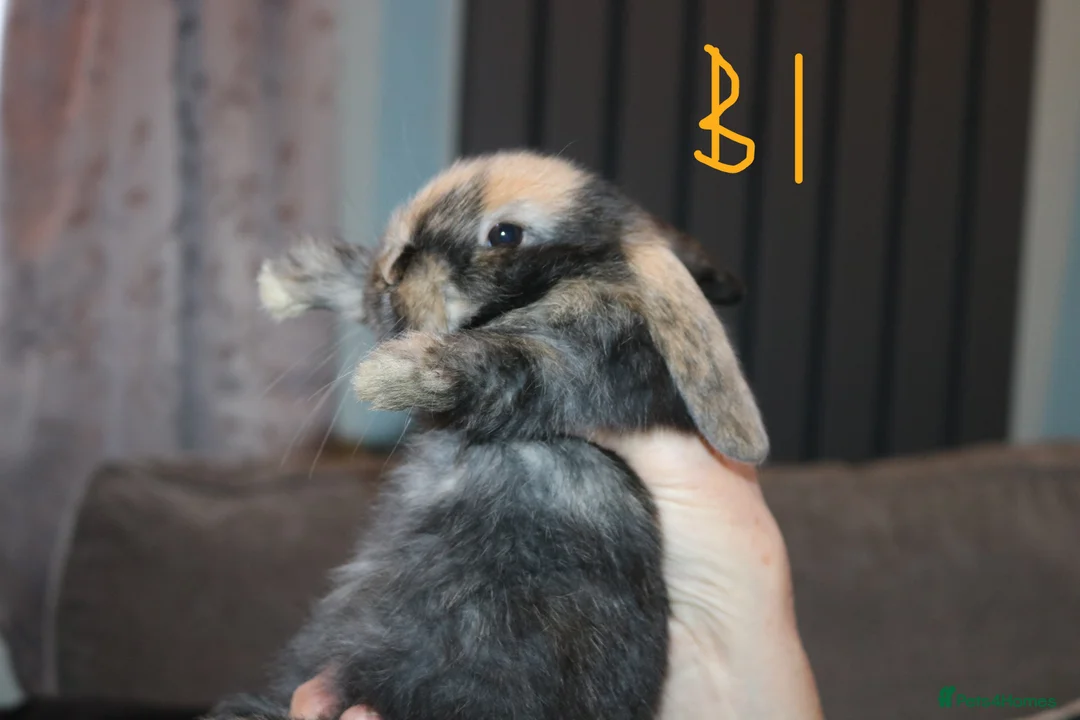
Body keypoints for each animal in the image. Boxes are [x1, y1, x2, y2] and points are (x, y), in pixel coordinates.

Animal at [208, 150, 768, 720]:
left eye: (504, 235)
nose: (395, 267)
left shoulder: (573, 362)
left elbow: (499, 357)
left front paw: (384, 375)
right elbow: (357, 286)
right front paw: (284, 283)